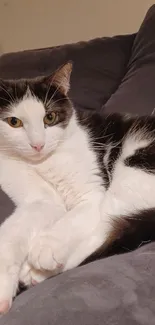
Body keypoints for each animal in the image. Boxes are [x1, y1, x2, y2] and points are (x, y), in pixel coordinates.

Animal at [0, 62, 155, 312]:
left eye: (49, 117)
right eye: (14, 122)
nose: (37, 145)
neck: (45, 162)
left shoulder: (91, 194)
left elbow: (74, 219)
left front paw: (47, 248)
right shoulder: (39, 199)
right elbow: (13, 233)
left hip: (134, 168)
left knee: (106, 229)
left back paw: (36, 272)